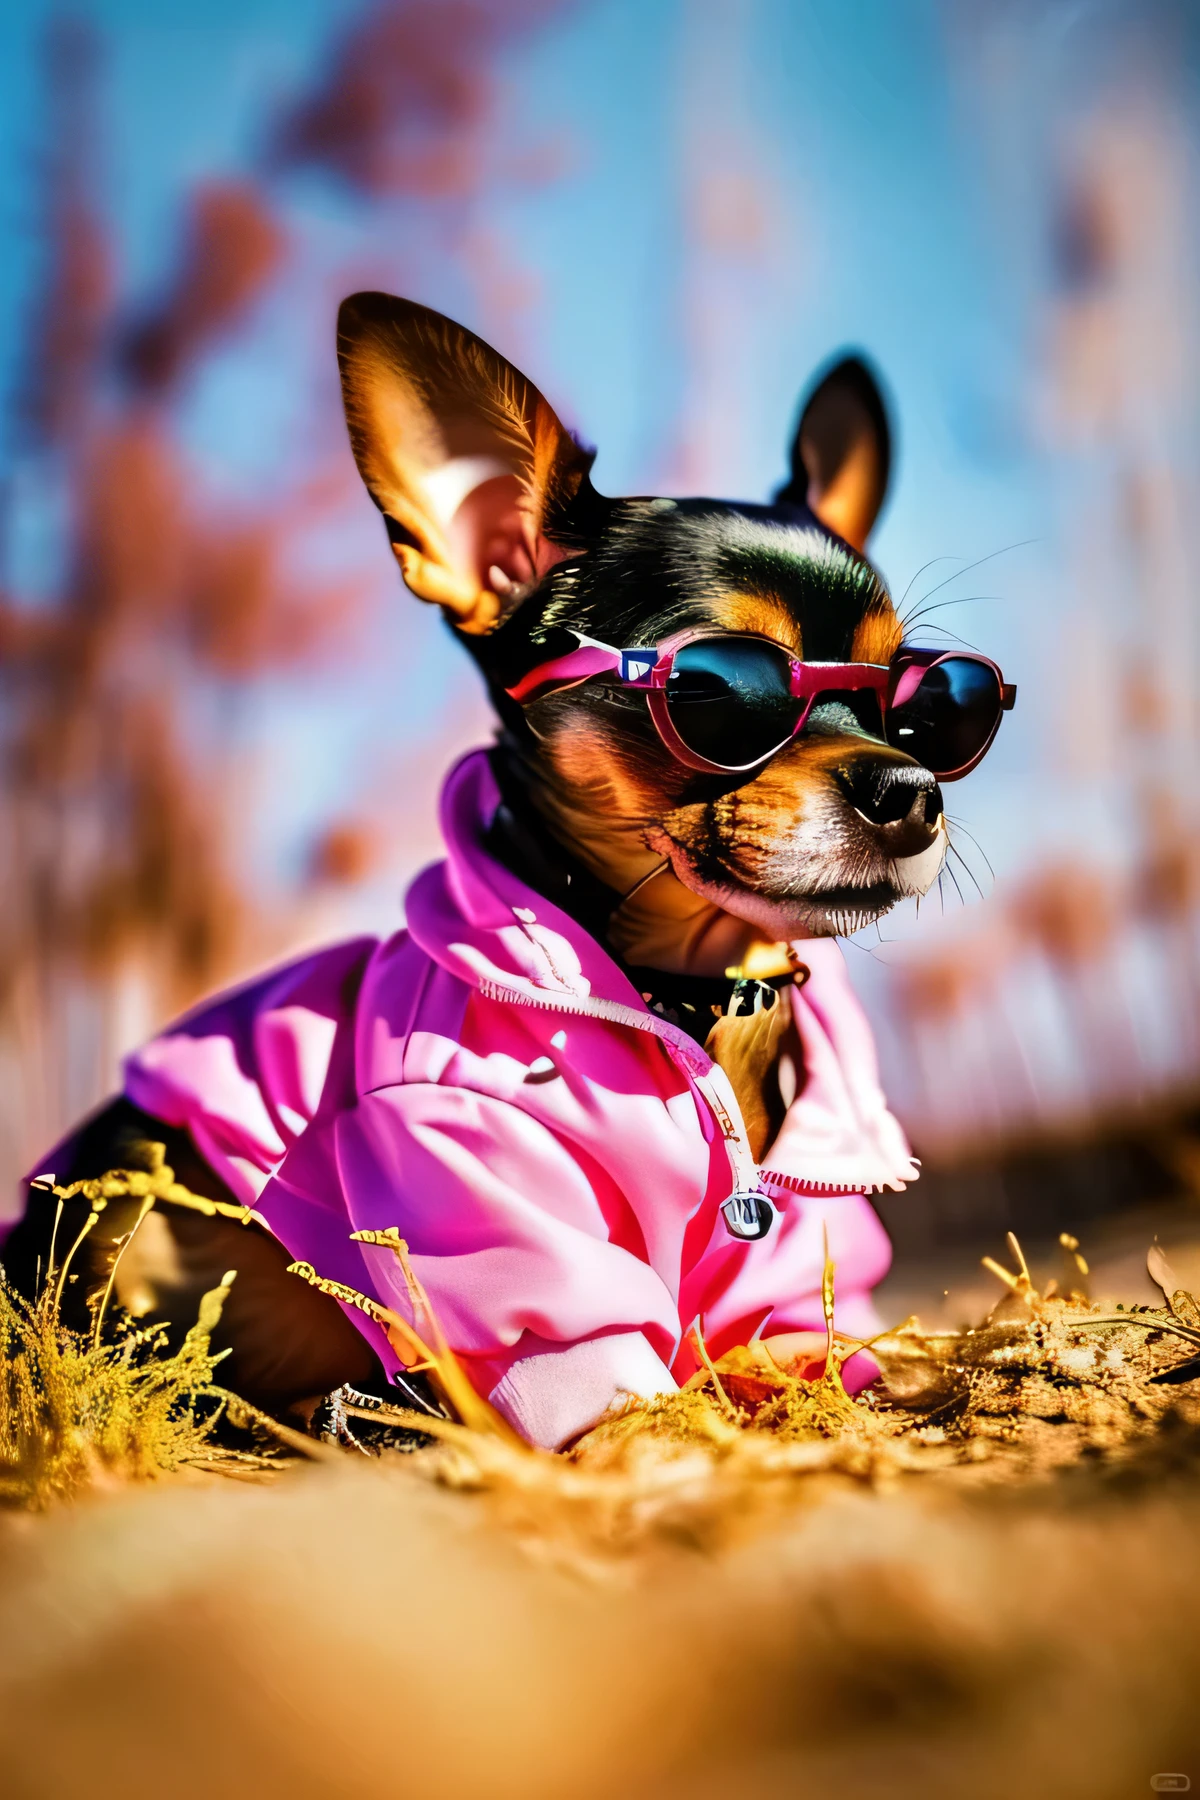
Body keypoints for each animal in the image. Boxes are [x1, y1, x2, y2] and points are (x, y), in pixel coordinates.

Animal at [2, 295, 1014, 1447]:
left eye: (921, 703)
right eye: (718, 689)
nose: (911, 787)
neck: (692, 996)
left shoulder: (789, 1267)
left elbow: (813, 1357)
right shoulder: (485, 1198)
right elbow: (635, 1401)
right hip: (132, 1200)